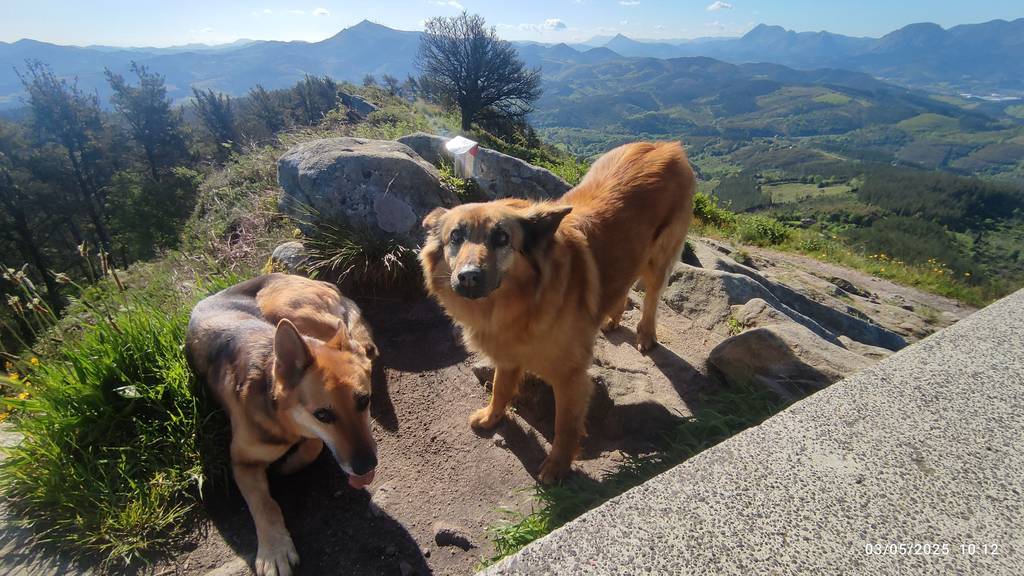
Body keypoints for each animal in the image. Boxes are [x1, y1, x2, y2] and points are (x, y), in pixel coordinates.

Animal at [187, 273, 379, 576]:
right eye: (322, 415)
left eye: (364, 400)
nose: (366, 467)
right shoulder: (242, 462)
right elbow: (265, 504)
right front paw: (274, 549)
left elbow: (313, 445)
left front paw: (291, 463)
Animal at [420, 141, 694, 483]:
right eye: (456, 236)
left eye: (501, 238)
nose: (468, 276)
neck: (522, 304)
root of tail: (665, 146)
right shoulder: (508, 357)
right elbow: (500, 388)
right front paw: (492, 417)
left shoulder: (570, 378)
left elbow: (565, 427)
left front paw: (557, 468)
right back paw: (611, 318)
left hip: (658, 260)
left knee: (652, 298)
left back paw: (646, 335)